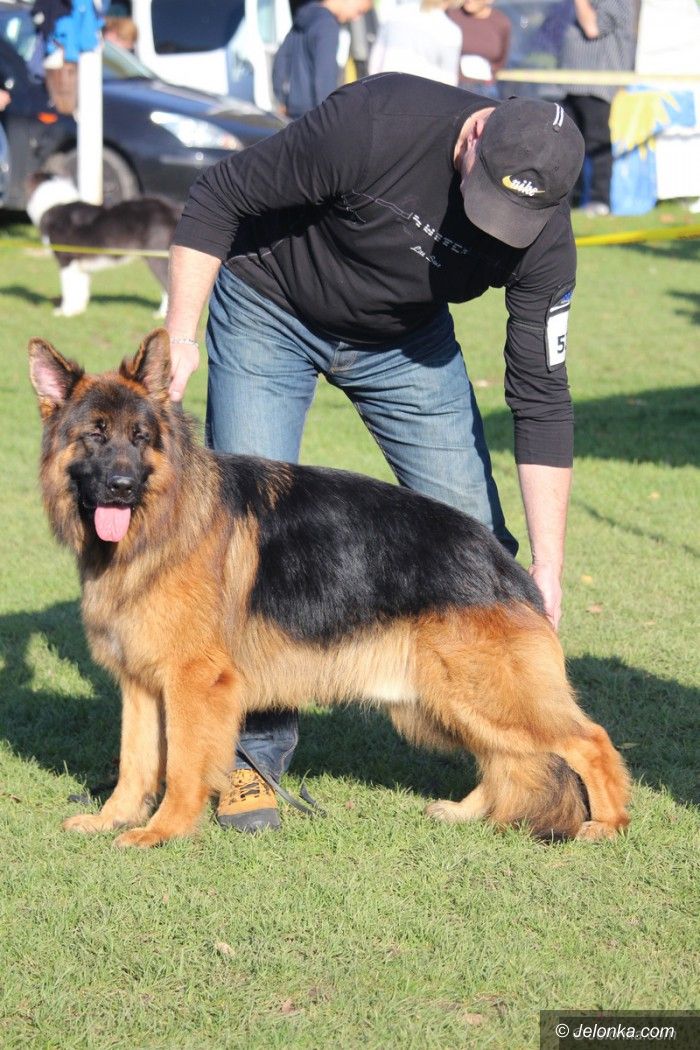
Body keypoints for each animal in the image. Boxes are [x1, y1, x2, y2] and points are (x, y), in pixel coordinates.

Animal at [26, 175, 180, 318]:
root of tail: (172, 209)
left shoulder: (66, 259)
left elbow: (68, 289)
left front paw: (65, 311)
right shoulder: (81, 264)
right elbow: (81, 289)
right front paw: (77, 311)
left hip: (156, 258)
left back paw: (160, 315)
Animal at [28, 329, 631, 849]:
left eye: (140, 438)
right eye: (95, 435)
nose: (122, 487)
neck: (162, 524)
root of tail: (508, 568)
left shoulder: (193, 683)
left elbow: (180, 766)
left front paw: (164, 830)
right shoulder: (139, 684)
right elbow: (134, 764)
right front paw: (113, 819)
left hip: (482, 695)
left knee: (588, 741)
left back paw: (607, 824)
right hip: (441, 704)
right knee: (508, 760)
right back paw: (466, 810)